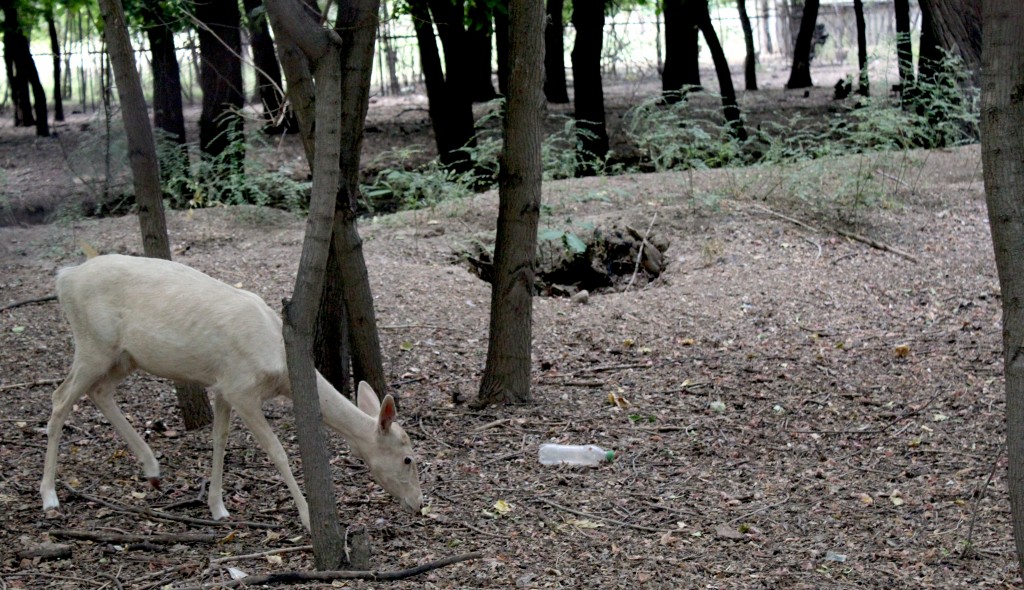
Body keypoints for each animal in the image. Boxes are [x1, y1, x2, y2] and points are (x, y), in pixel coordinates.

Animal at [39, 250, 421, 528]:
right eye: (408, 459)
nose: (418, 504)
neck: (279, 367)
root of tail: (64, 278)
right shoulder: (242, 387)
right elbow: (278, 451)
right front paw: (308, 518)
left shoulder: (223, 385)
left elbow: (219, 440)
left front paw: (218, 508)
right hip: (93, 344)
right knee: (59, 399)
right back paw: (49, 496)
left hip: (124, 357)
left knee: (99, 392)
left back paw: (152, 471)